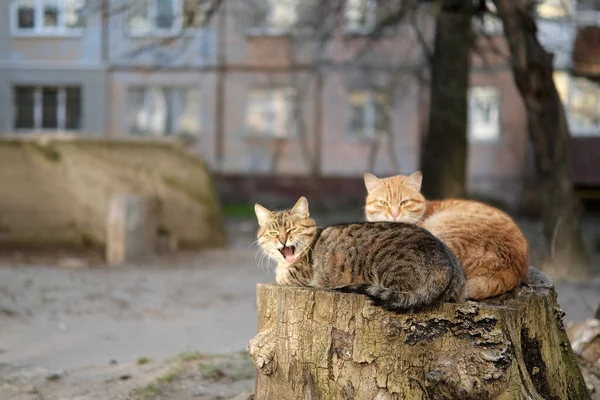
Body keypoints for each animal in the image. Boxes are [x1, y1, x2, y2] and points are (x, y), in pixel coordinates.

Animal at [253, 197, 464, 312]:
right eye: (273, 233)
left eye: (292, 229)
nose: (282, 240)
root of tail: (446, 262)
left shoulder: (300, 276)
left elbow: (283, 277)